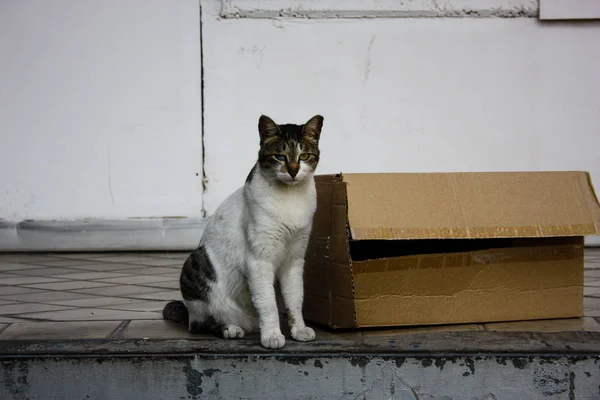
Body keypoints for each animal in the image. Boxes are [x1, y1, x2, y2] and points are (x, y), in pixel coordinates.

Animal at [163, 114, 324, 348]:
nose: (293, 171)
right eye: (280, 156)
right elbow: (268, 303)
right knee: (200, 323)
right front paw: (272, 335)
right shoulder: (259, 260)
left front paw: (299, 330)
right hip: (196, 264)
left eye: (304, 156)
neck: (290, 199)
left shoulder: (294, 260)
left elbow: (295, 299)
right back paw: (229, 328)